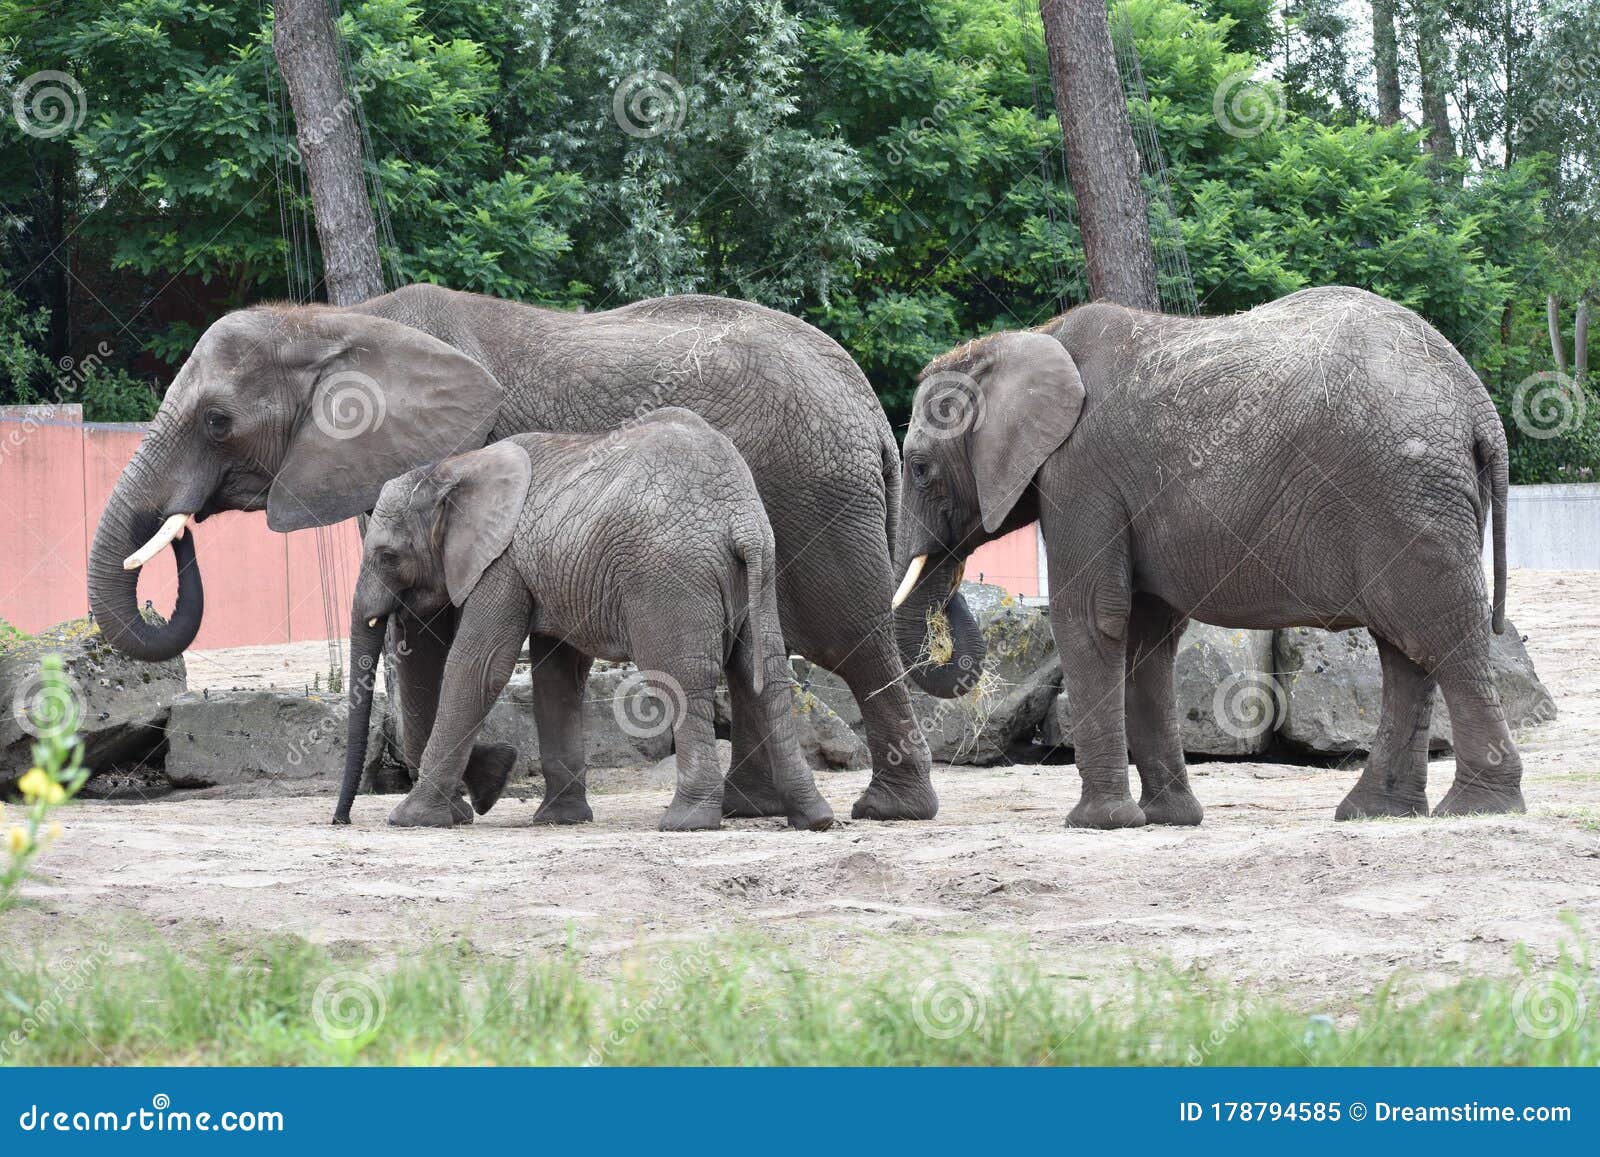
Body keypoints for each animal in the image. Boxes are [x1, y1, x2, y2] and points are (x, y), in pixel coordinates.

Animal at [332, 412, 835, 833]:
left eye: (387, 556)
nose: (342, 821)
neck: (455, 469)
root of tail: (740, 521)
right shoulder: (544, 567)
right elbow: (557, 674)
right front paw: (559, 818)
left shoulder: (502, 563)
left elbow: (480, 667)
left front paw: (410, 819)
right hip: (760, 572)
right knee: (765, 674)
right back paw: (814, 819)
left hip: (669, 576)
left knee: (682, 676)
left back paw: (686, 822)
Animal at [891, 286, 1521, 829]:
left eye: (919, 468)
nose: (955, 573)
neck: (1028, 341)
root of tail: (1478, 406)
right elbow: (1147, 635)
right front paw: (1169, 820)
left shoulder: (1081, 473)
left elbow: (1091, 618)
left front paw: (1099, 823)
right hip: (1415, 498)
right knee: (1406, 647)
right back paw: (1376, 813)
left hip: (1403, 492)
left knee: (1440, 631)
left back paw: (1477, 808)